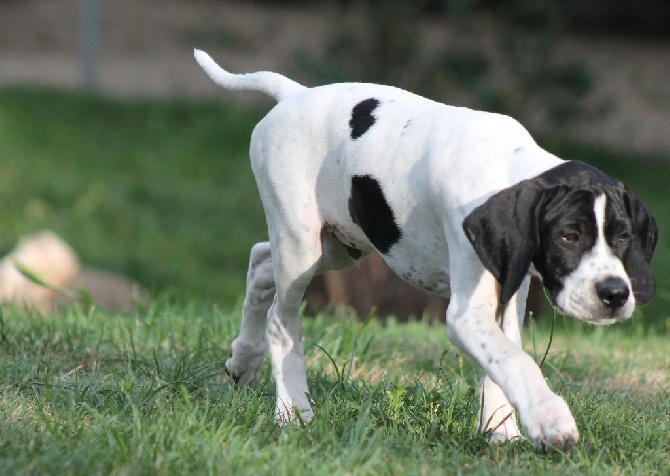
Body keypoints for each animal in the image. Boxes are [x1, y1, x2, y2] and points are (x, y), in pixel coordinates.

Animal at [196, 50, 660, 452]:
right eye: (568, 236)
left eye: (623, 237)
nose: (615, 294)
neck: (507, 168)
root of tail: (293, 94)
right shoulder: (466, 312)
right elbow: (516, 361)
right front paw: (549, 419)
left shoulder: (507, 290)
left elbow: (503, 356)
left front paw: (501, 431)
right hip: (302, 245)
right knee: (282, 319)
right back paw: (292, 411)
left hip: (340, 246)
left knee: (260, 263)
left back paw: (243, 359)